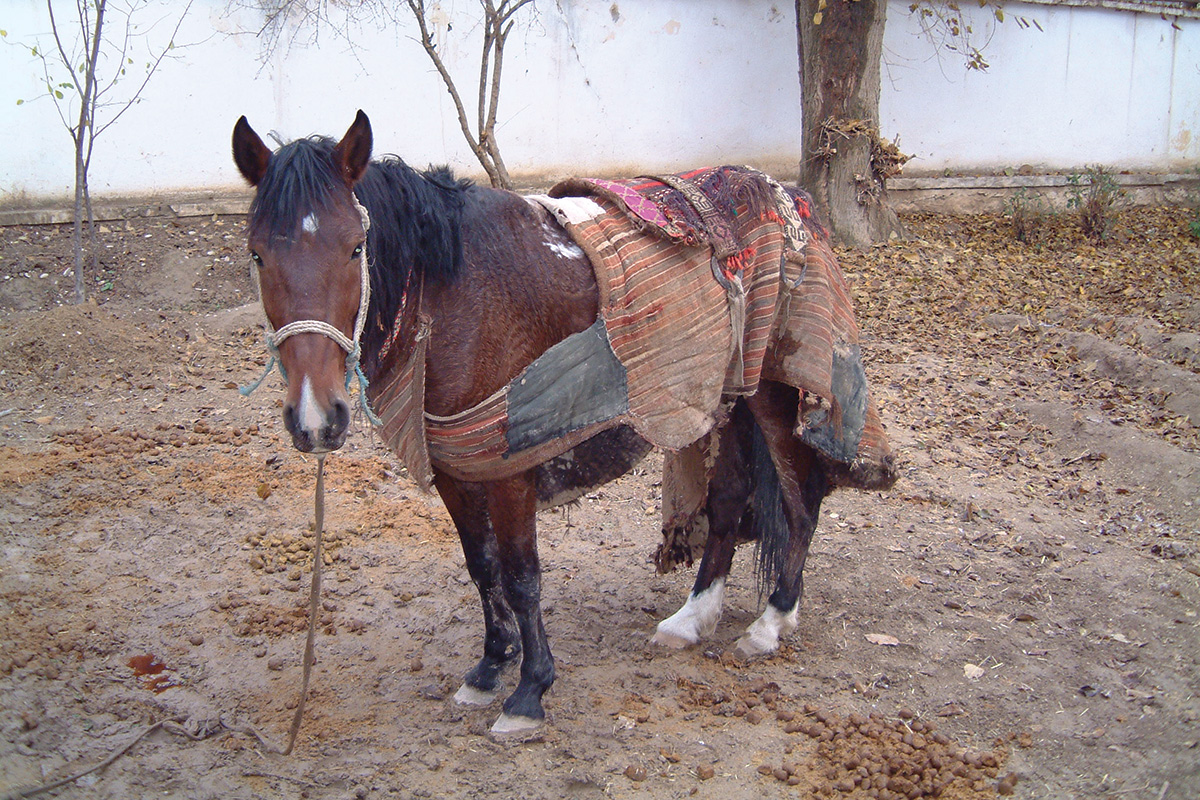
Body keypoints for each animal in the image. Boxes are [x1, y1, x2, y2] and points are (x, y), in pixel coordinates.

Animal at [234, 109, 897, 734]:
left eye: (355, 248)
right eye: (258, 254)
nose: (315, 418)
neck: (457, 292)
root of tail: (789, 197)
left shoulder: (508, 468)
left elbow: (522, 575)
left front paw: (530, 690)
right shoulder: (455, 467)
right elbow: (483, 567)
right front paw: (489, 667)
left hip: (772, 391)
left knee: (801, 497)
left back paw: (773, 621)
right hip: (722, 400)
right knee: (731, 500)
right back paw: (692, 617)